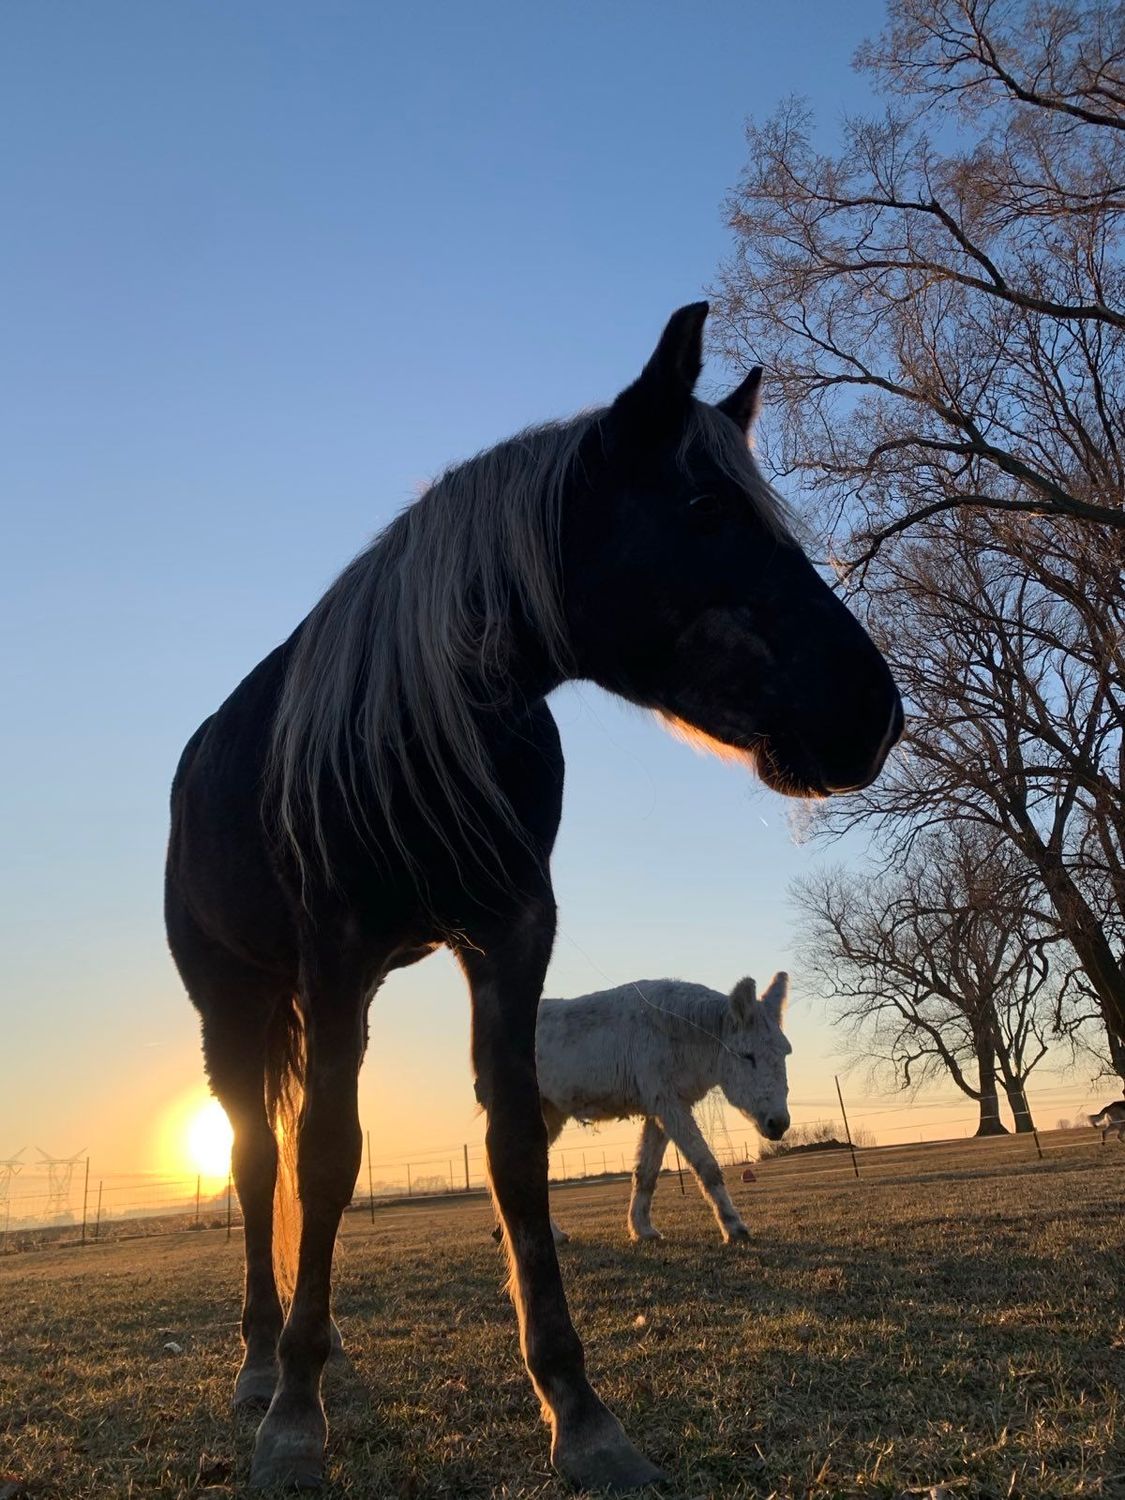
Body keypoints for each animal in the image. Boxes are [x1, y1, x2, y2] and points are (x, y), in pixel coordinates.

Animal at [530, 972, 791, 1245]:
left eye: (785, 1053)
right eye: (747, 1056)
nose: (779, 1123)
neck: (674, 1031)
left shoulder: (661, 1110)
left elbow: (646, 1172)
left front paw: (642, 1229)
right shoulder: (669, 1107)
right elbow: (707, 1166)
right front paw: (734, 1228)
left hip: (551, 1116)